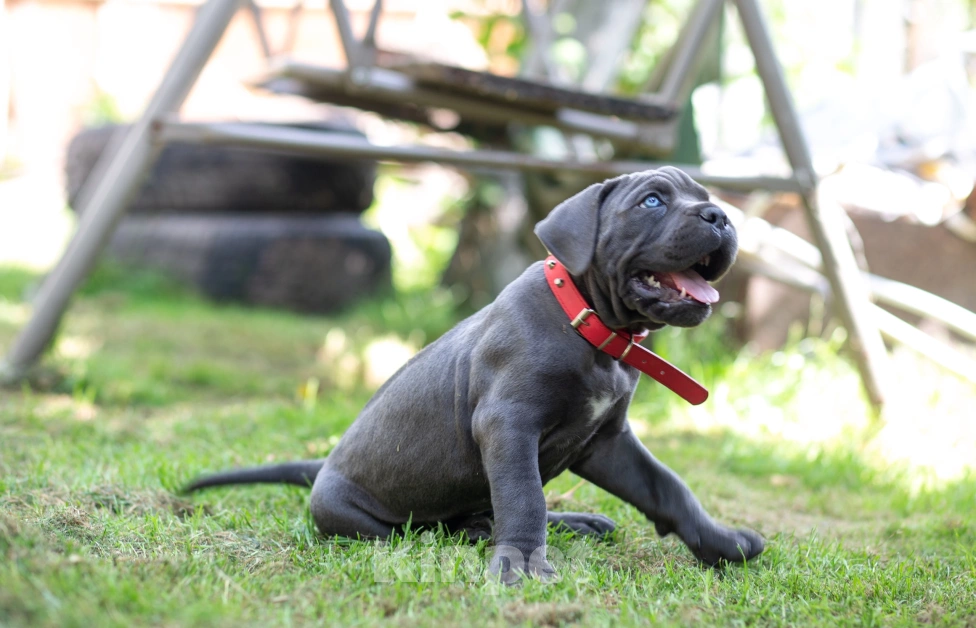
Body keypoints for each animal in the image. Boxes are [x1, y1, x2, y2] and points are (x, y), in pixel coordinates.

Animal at [183, 167, 764, 584]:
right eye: (652, 202)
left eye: (703, 196)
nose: (719, 216)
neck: (590, 326)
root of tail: (323, 465)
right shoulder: (508, 424)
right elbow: (524, 497)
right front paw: (523, 565)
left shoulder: (607, 442)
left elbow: (667, 487)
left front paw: (720, 542)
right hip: (354, 514)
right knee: (451, 525)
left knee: (489, 511)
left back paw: (572, 523)